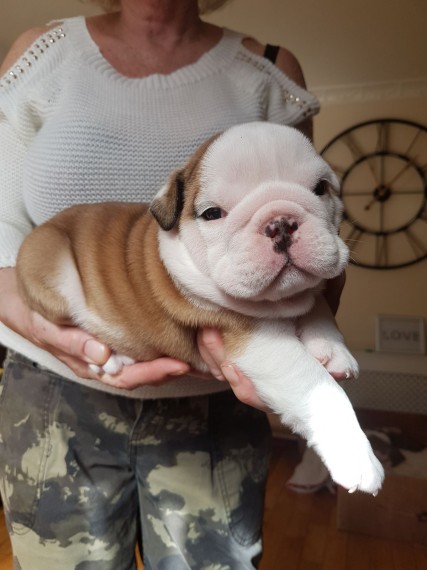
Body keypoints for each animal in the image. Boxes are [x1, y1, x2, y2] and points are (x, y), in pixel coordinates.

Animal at [16, 122, 384, 494]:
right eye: (212, 214)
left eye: (320, 189)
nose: (281, 222)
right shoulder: (256, 340)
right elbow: (315, 385)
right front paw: (357, 457)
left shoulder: (306, 292)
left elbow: (317, 305)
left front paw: (331, 348)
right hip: (57, 276)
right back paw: (112, 357)